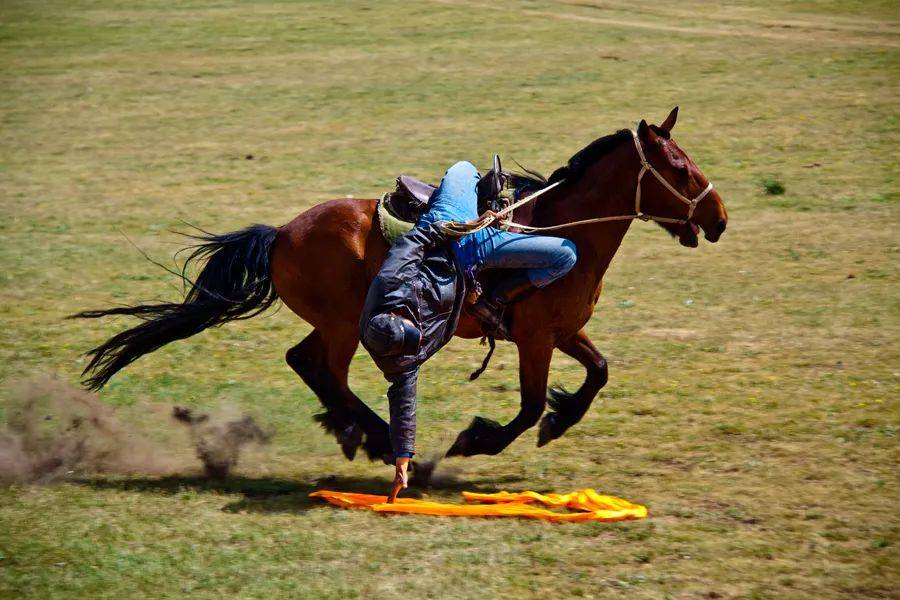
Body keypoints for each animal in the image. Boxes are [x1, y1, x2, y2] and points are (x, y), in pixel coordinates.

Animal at [75, 110, 724, 462]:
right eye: (680, 169)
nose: (718, 218)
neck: (563, 230)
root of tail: (282, 232)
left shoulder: (565, 332)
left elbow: (598, 372)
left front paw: (560, 421)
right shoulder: (537, 339)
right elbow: (528, 405)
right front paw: (475, 440)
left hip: (335, 324)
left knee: (308, 365)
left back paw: (361, 433)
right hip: (342, 324)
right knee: (321, 369)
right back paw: (380, 437)